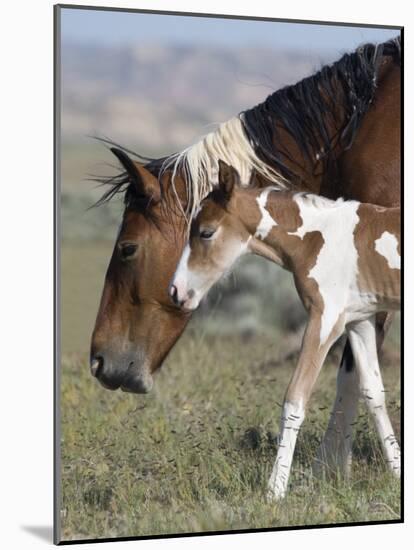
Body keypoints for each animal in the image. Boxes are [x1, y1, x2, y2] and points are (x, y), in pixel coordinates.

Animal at [169, 162, 402, 502]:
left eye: (206, 232)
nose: (176, 292)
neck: (317, 238)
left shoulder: (324, 320)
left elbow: (295, 398)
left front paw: (275, 490)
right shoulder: (359, 321)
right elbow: (374, 393)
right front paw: (398, 473)